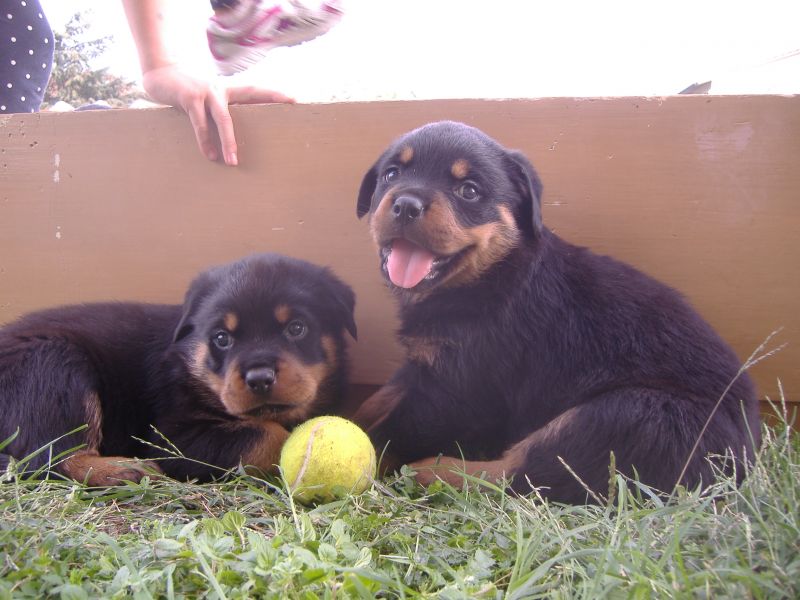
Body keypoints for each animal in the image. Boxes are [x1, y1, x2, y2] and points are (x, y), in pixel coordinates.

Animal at [0, 255, 356, 486]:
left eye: (297, 328)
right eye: (222, 338)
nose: (259, 379)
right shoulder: (171, 436)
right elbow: (271, 434)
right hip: (53, 364)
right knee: (44, 458)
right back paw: (123, 470)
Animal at [354, 120, 760, 502]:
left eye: (468, 190)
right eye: (392, 174)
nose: (406, 204)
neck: (487, 277)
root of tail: (749, 458)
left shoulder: (457, 389)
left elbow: (388, 432)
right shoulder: (424, 363)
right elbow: (378, 399)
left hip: (629, 414)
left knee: (524, 475)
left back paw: (433, 472)